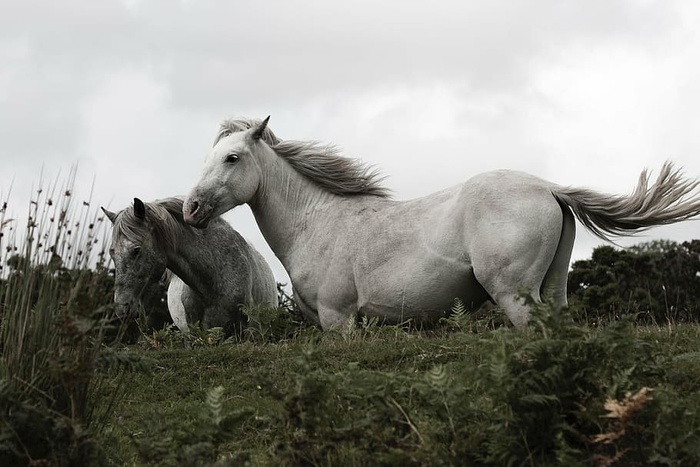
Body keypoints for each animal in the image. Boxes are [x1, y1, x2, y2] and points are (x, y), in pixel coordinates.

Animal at [183, 116, 700, 330]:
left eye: (231, 158)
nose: (190, 209)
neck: (318, 222)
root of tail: (548, 187)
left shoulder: (338, 319)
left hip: (514, 295)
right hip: (554, 290)